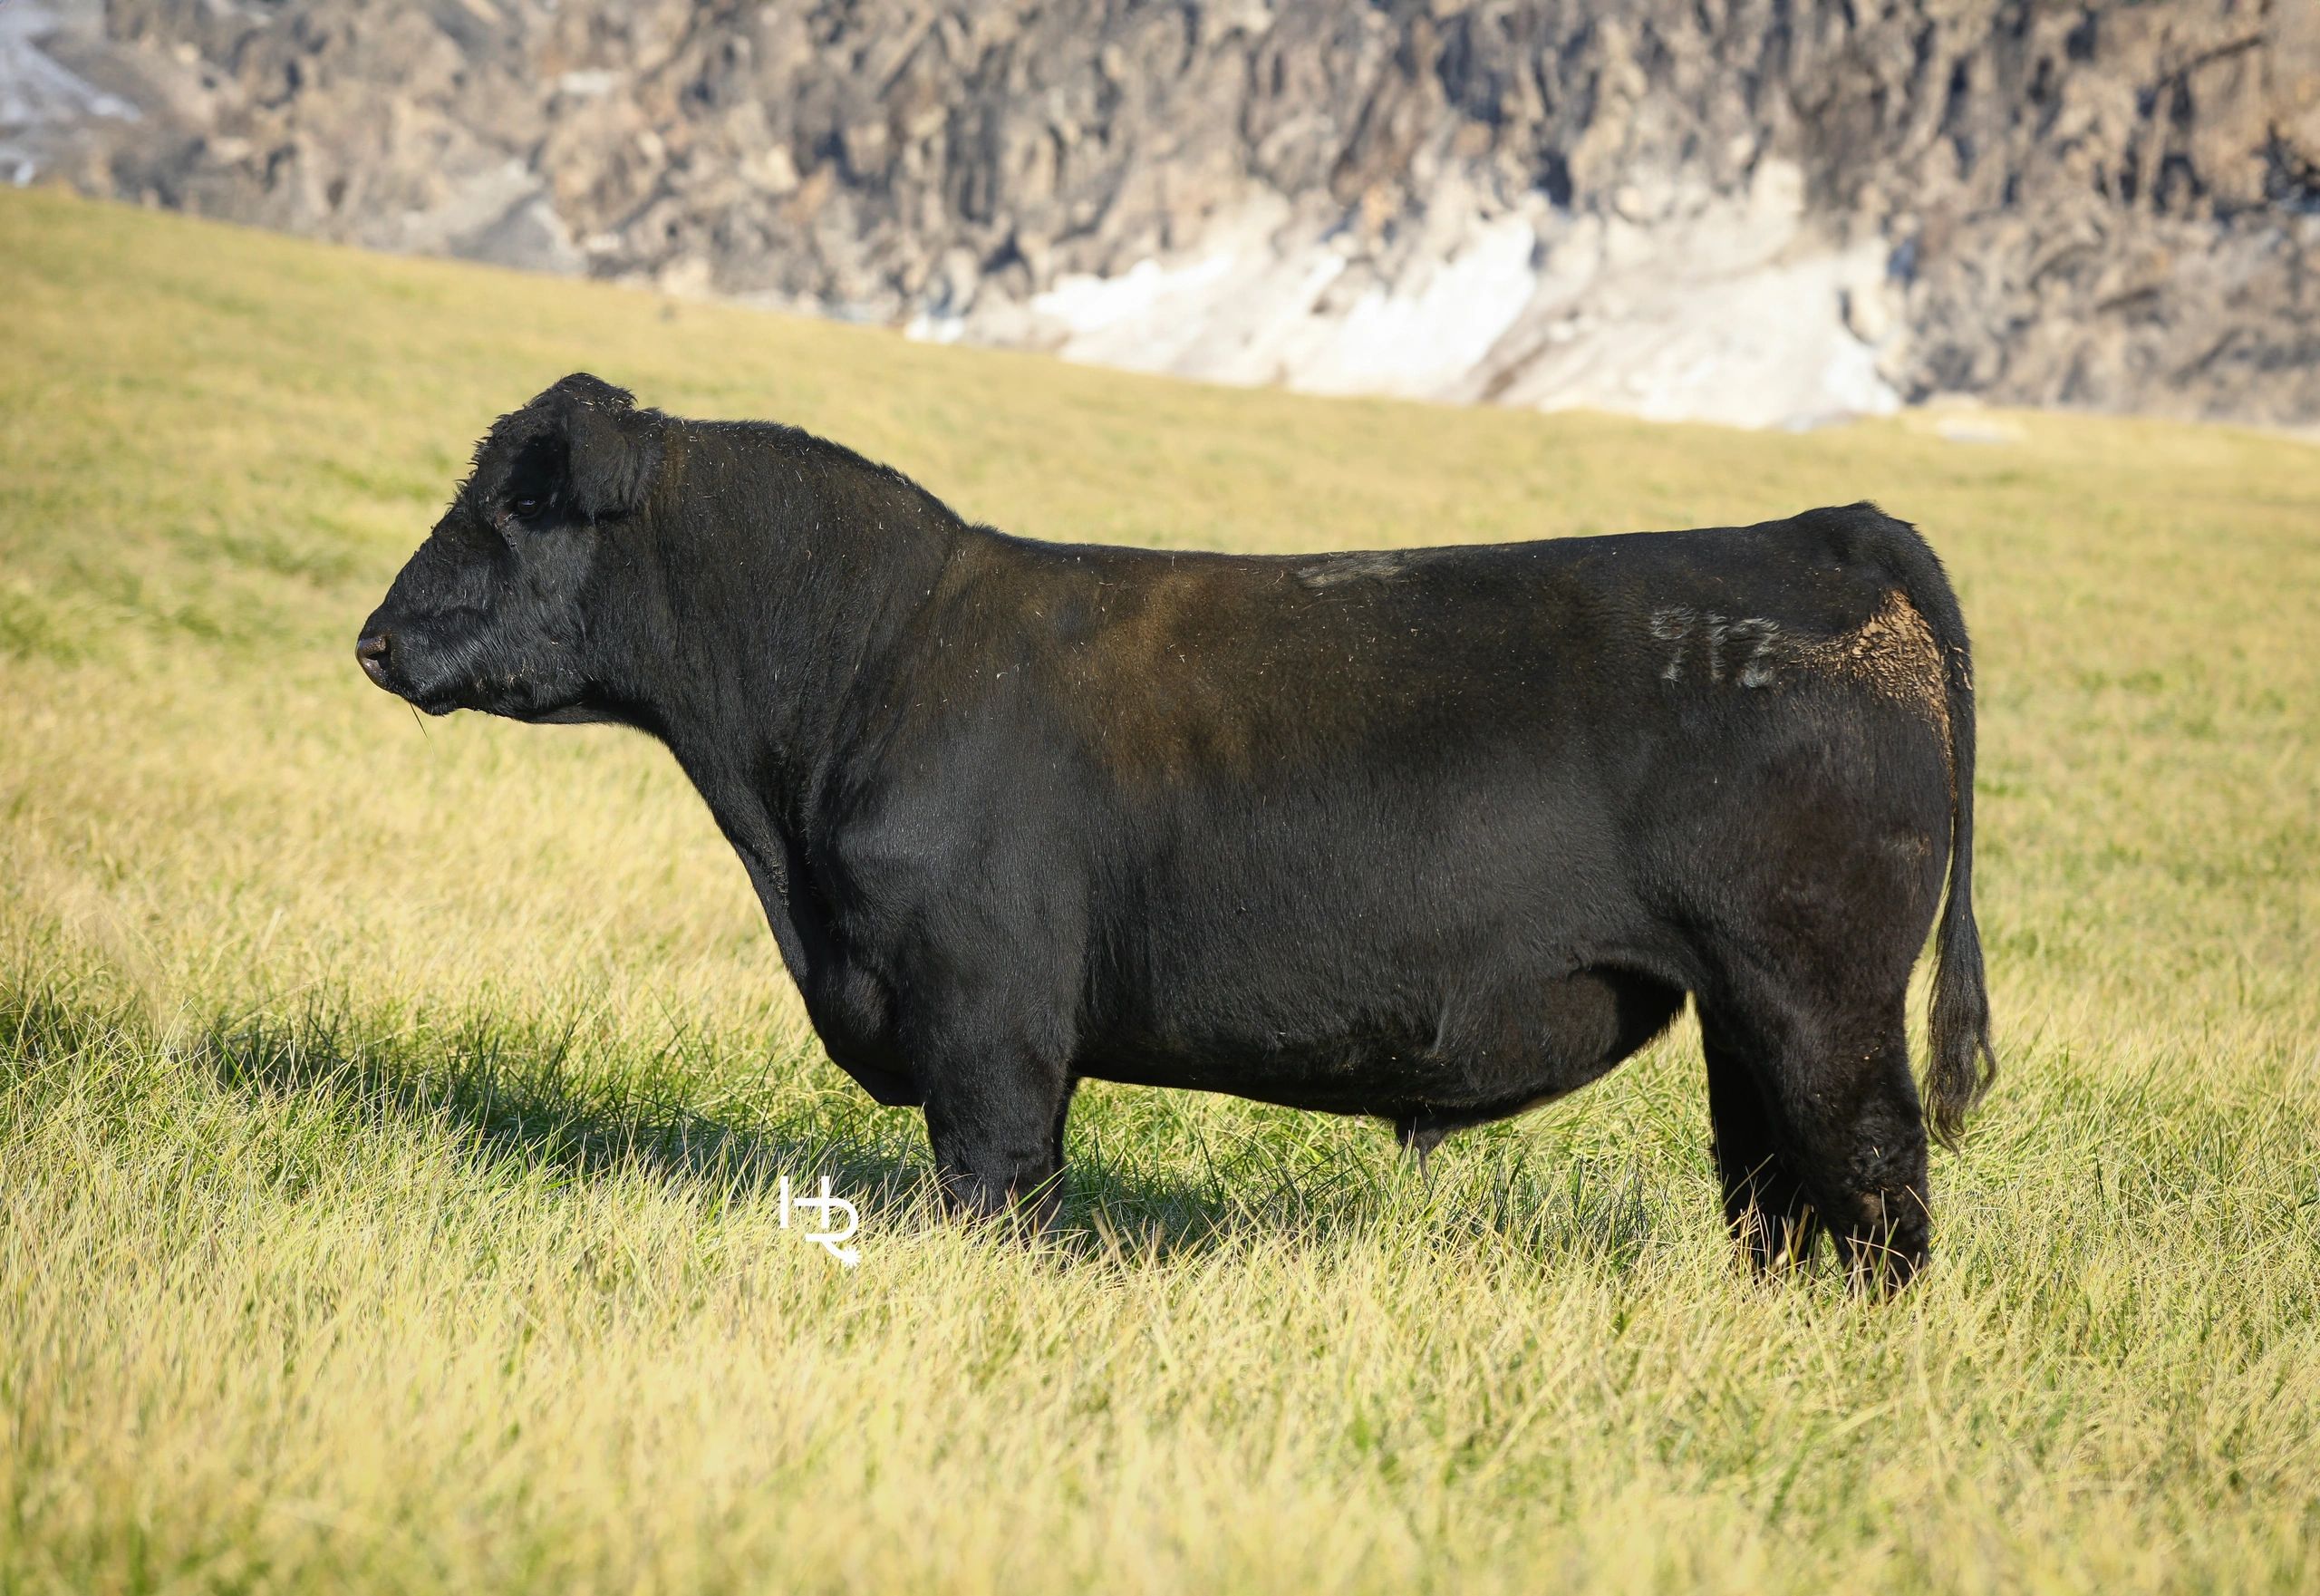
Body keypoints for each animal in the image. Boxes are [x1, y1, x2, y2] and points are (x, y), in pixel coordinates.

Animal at [358, 373, 1996, 1287]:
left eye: (518, 506)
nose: (374, 641)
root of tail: (1822, 529)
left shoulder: (989, 1023)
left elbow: (996, 1192)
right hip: (1745, 1013)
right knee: (1775, 1195)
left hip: (1821, 993)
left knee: (1876, 1194)